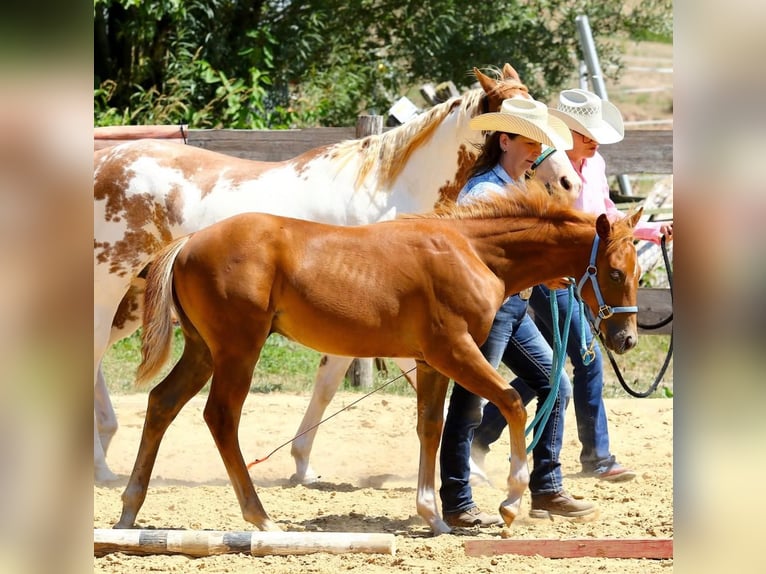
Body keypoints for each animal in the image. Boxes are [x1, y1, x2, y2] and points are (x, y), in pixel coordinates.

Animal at [93, 63, 582, 483]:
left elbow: (329, 385)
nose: (569, 183)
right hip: (108, 289)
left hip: (135, 304)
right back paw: (100, 464)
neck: (389, 192)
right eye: (519, 120)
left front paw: (303, 466)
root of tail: (104, 163)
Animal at [114, 183, 640, 535]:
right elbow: (510, 402)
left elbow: (430, 426)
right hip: (238, 349)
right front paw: (509, 503)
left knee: (162, 403)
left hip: (204, 350)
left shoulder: (430, 362)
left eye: (638, 272)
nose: (627, 339)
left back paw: (128, 511)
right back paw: (259, 517)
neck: (472, 251)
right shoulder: (455, 350)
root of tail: (189, 242)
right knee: (220, 416)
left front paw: (434, 517)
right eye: (614, 272)